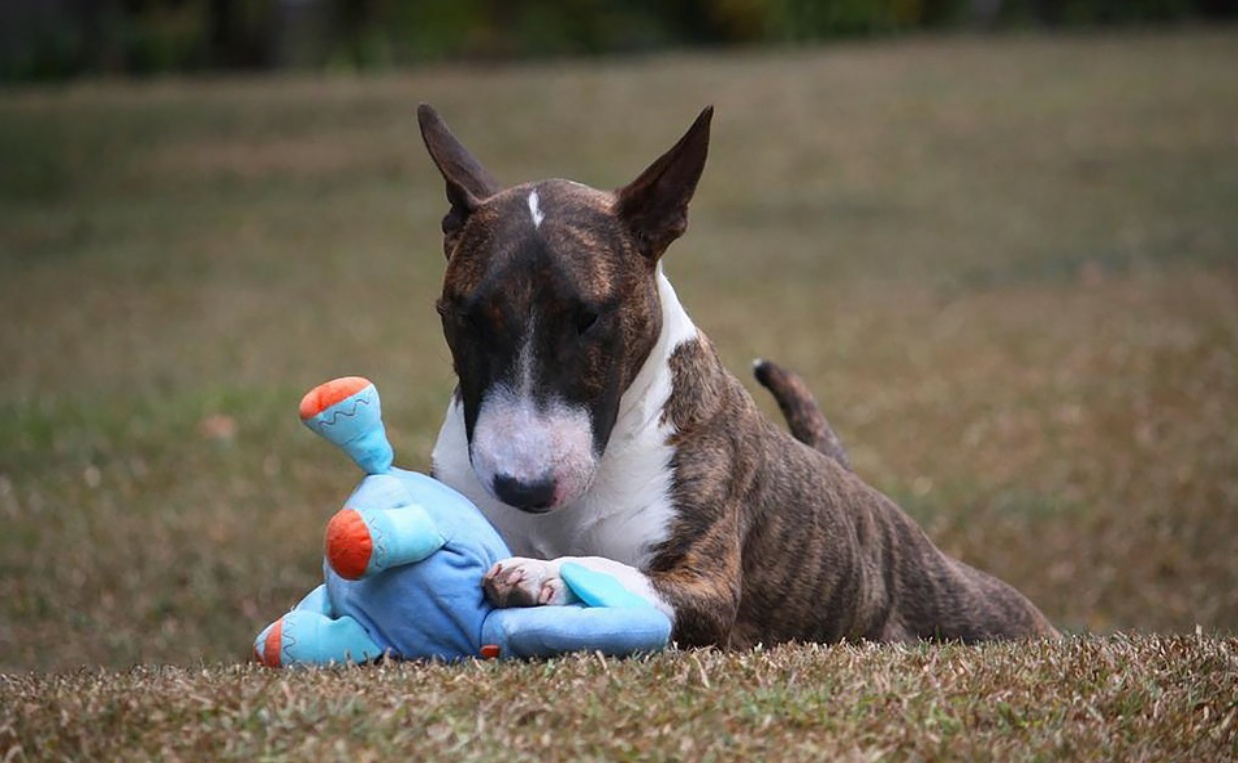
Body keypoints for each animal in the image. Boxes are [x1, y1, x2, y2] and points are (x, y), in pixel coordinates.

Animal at [413, 104, 1054, 649]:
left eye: (588, 318)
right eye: (466, 317)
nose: (525, 489)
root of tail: (864, 494)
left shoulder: (708, 585)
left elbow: (615, 572)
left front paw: (538, 574)